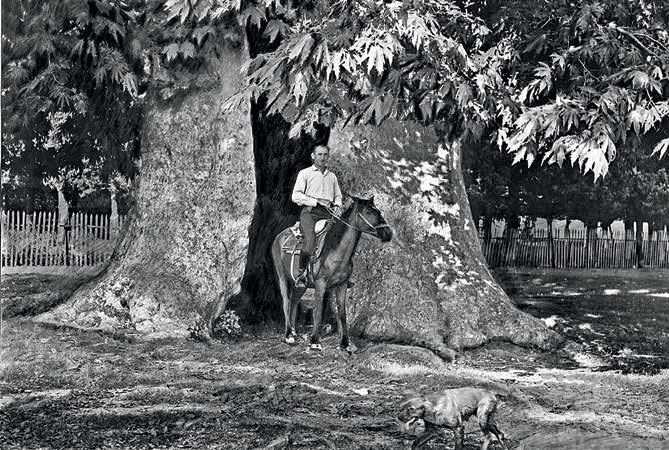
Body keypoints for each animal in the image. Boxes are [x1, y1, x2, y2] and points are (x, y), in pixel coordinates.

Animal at [268, 195, 392, 354]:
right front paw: (315, 341)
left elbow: (342, 313)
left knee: (294, 300)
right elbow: (318, 312)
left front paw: (345, 343)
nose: (388, 233)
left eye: (378, 211)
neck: (335, 250)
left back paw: (294, 331)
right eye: (369, 212)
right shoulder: (321, 284)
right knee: (286, 301)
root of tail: (279, 236)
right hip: (282, 277)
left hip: (301, 284)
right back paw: (288, 334)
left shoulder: (342, 285)